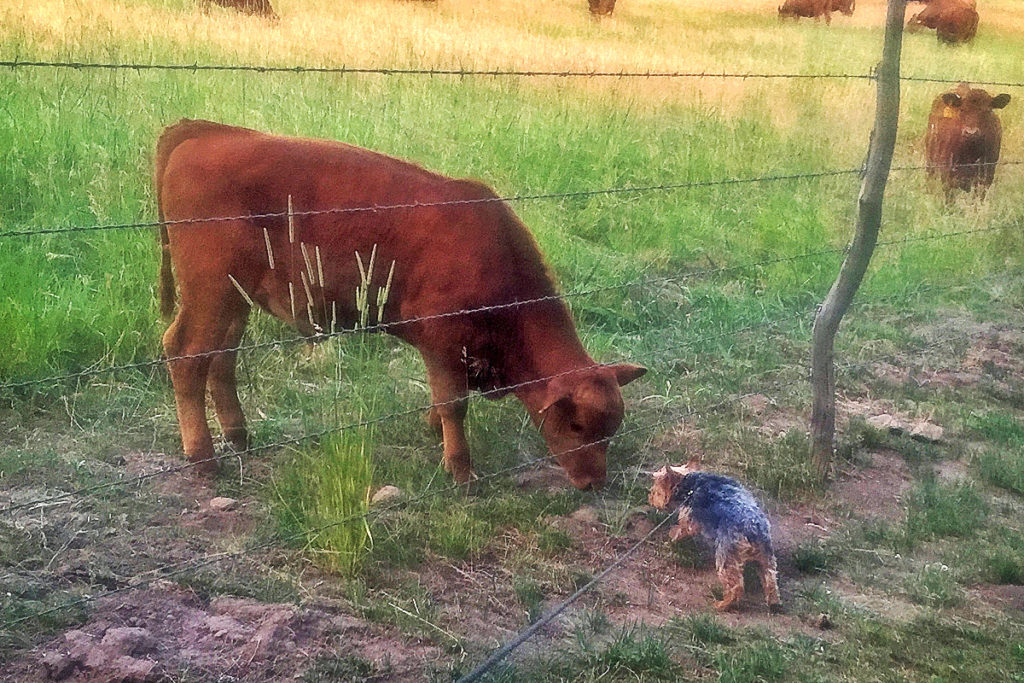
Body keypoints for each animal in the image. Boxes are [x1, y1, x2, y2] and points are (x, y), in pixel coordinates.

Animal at [155, 119, 646, 491]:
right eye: (577, 425)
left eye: (612, 428)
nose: (594, 483)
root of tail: (205, 131)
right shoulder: (443, 343)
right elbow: (454, 404)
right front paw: (461, 470)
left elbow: (443, 399)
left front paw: (435, 431)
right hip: (210, 292)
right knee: (186, 354)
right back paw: (203, 456)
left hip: (235, 299)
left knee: (222, 357)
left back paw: (238, 436)